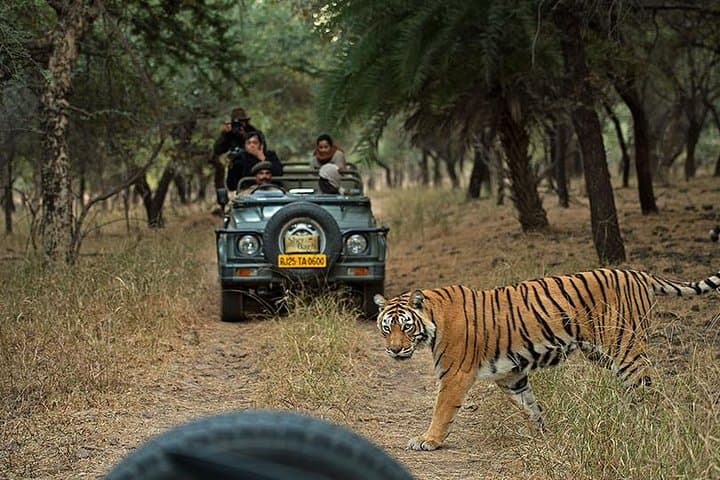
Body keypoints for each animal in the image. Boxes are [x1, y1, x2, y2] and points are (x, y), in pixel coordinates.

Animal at [373, 267, 720, 451]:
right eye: (387, 328)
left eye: (406, 326)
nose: (395, 349)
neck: (432, 319)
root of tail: (638, 272)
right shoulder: (511, 375)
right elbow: (529, 406)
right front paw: (543, 435)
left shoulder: (455, 375)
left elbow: (442, 410)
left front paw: (428, 440)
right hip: (602, 353)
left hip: (626, 348)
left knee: (651, 389)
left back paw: (649, 427)